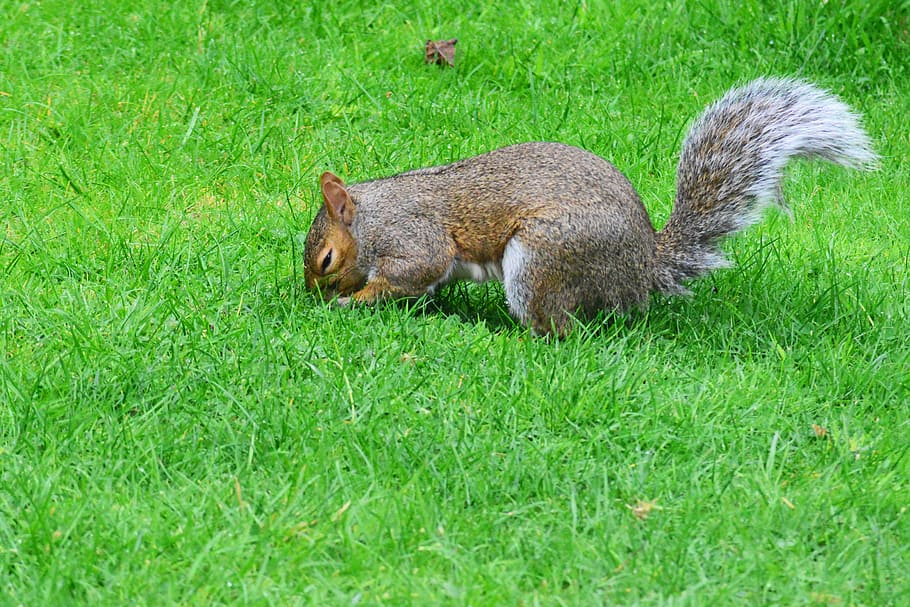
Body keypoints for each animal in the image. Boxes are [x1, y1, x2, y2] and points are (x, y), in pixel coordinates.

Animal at [303, 78, 877, 335]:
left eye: (326, 260)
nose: (310, 297)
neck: (373, 216)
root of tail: (641, 269)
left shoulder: (412, 237)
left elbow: (412, 270)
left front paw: (353, 300)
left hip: (543, 258)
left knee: (560, 329)